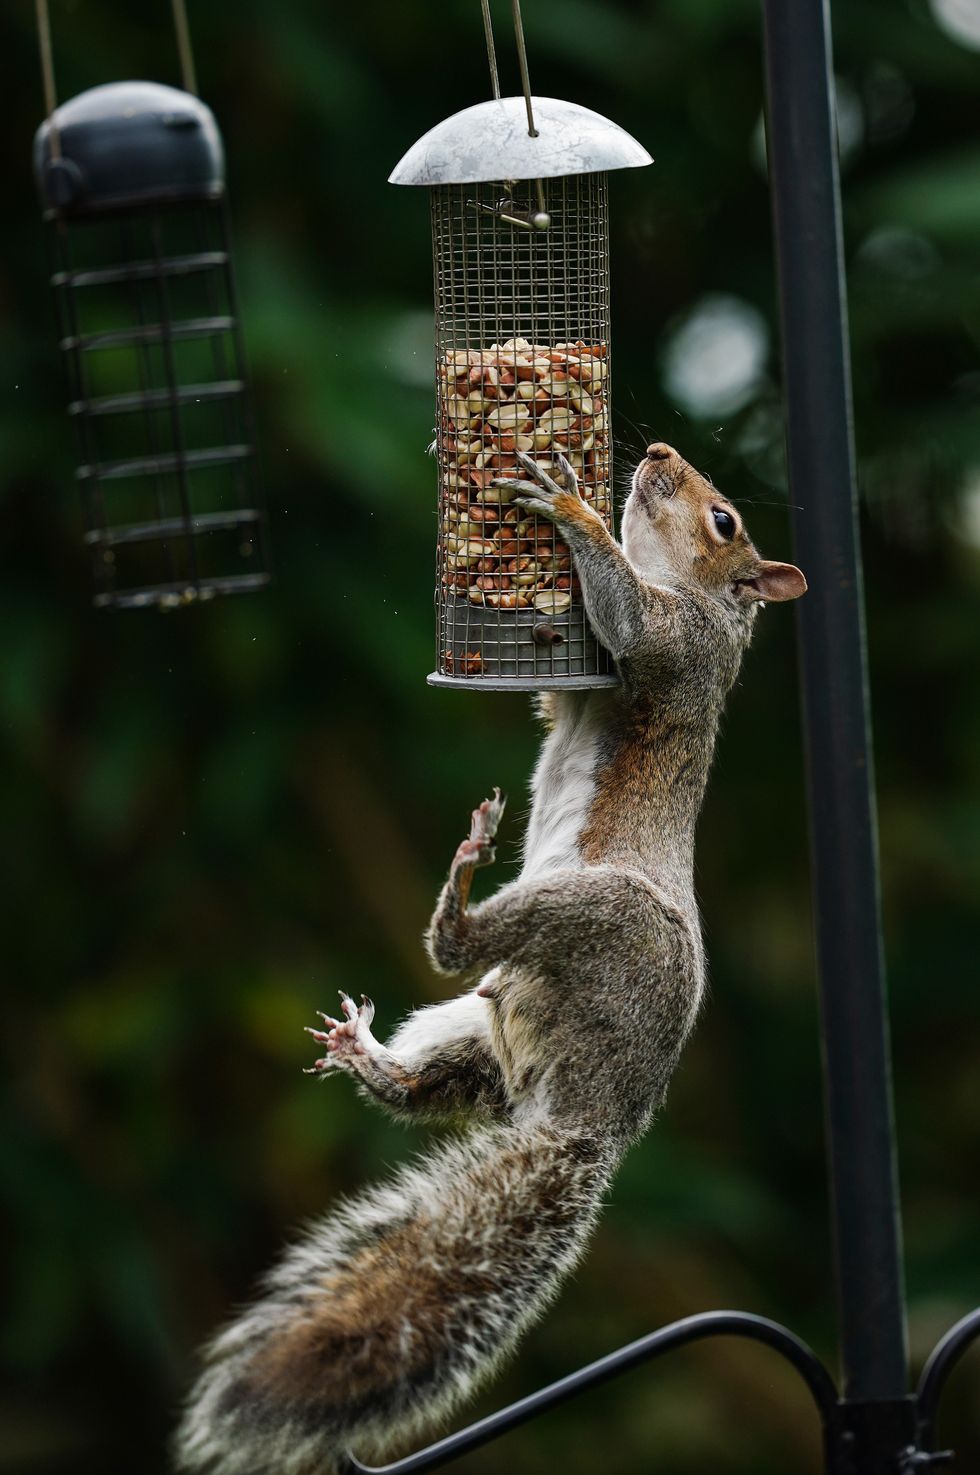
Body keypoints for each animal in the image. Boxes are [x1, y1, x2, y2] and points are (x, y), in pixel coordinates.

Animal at [174, 443, 806, 1475]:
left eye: (724, 522)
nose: (657, 454)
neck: (699, 594)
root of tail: (595, 1117)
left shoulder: (681, 649)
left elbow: (631, 621)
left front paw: (567, 505)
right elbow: (555, 693)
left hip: (606, 920)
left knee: (461, 948)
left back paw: (460, 895)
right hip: (480, 1029)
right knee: (429, 1081)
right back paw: (368, 1054)